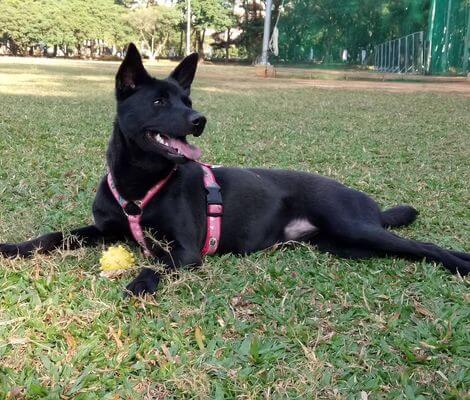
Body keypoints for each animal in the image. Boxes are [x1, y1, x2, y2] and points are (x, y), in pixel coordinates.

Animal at [1, 43, 468, 296]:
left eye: (187, 101)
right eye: (159, 101)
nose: (199, 120)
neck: (142, 184)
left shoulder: (186, 250)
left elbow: (158, 263)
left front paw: (140, 282)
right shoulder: (105, 229)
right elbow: (53, 236)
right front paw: (13, 248)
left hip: (354, 228)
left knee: (426, 247)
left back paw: (459, 262)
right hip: (343, 245)